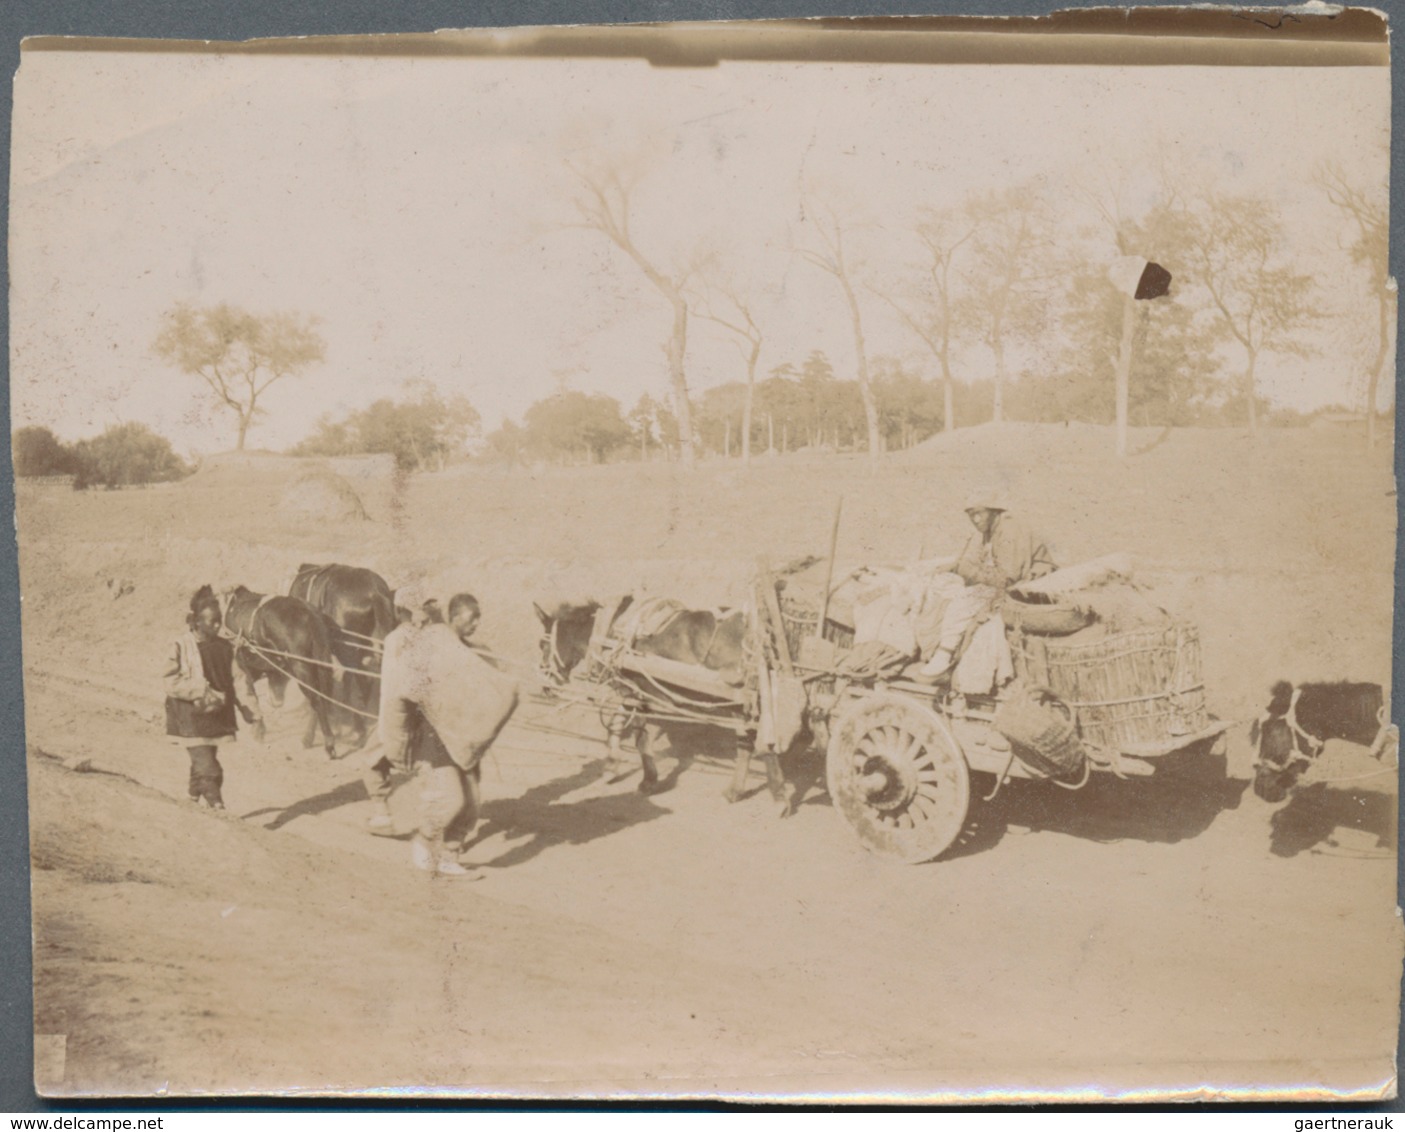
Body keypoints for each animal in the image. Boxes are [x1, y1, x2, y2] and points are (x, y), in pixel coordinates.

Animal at [227, 584, 345, 764]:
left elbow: (249, 693)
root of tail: (310, 616)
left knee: (317, 700)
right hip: (318, 664)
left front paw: (258, 730)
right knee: (319, 698)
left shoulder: (245, 665)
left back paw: (328, 744)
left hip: (301, 668)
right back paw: (309, 739)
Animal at [533, 598, 798, 808]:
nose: (545, 685)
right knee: (748, 742)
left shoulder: (635, 692)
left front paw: (648, 781)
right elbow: (616, 725)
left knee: (755, 742)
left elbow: (640, 738)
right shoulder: (629, 691)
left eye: (542, 644)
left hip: (739, 701)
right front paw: (611, 766)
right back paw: (740, 792)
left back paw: (774, 795)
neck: (609, 634)